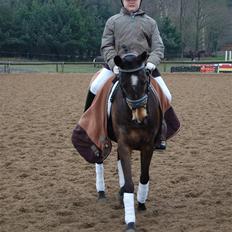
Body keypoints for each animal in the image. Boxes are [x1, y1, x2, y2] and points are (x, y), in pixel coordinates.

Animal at [95, 51, 162, 232]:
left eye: (145, 80)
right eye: (123, 84)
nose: (140, 116)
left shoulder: (148, 146)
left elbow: (144, 177)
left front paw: (141, 203)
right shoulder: (125, 145)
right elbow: (130, 182)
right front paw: (130, 221)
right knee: (99, 160)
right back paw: (102, 192)